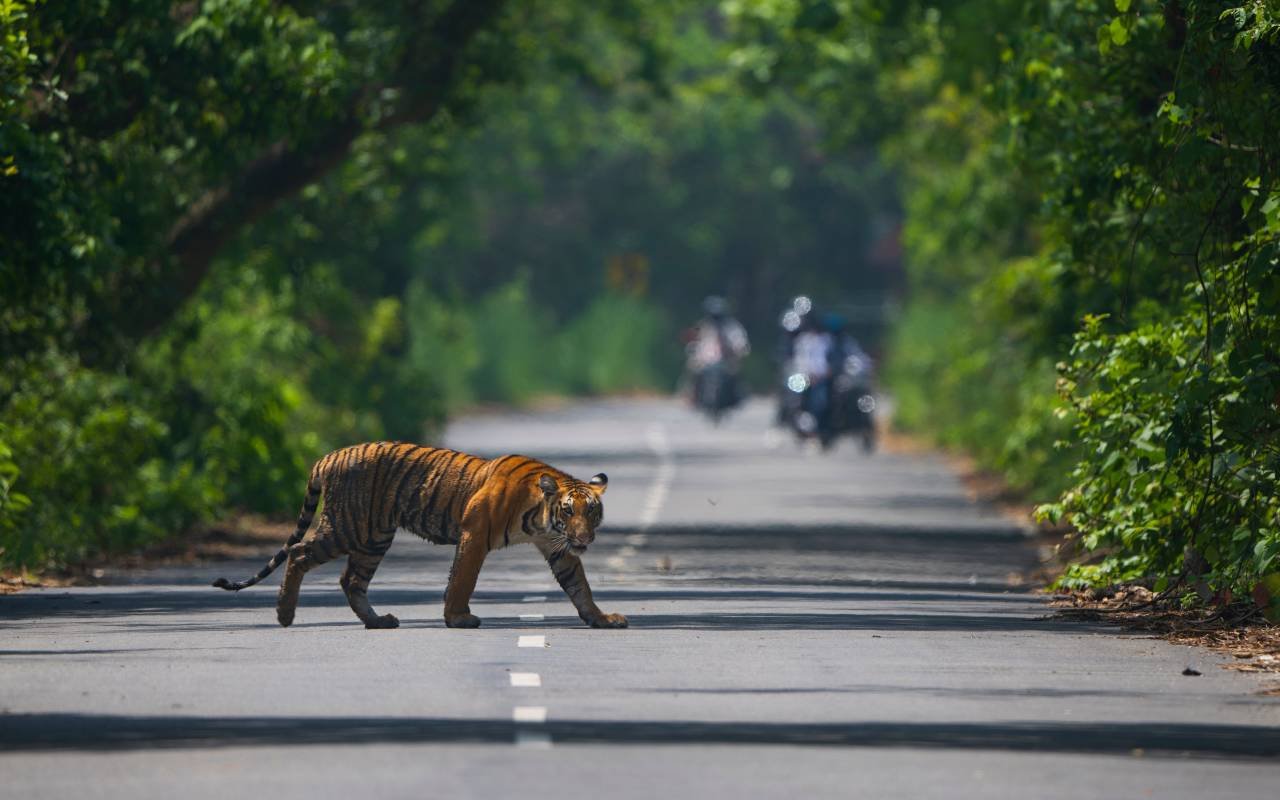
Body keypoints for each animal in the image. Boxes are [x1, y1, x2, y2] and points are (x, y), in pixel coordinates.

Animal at [212, 442, 627, 630]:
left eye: (592, 511)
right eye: (568, 511)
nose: (585, 539)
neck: (542, 516)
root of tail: (326, 457)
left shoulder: (558, 549)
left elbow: (579, 586)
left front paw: (601, 618)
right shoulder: (475, 534)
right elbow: (463, 579)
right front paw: (458, 618)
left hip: (374, 536)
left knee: (351, 580)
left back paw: (378, 621)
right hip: (347, 528)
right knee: (299, 552)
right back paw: (284, 614)